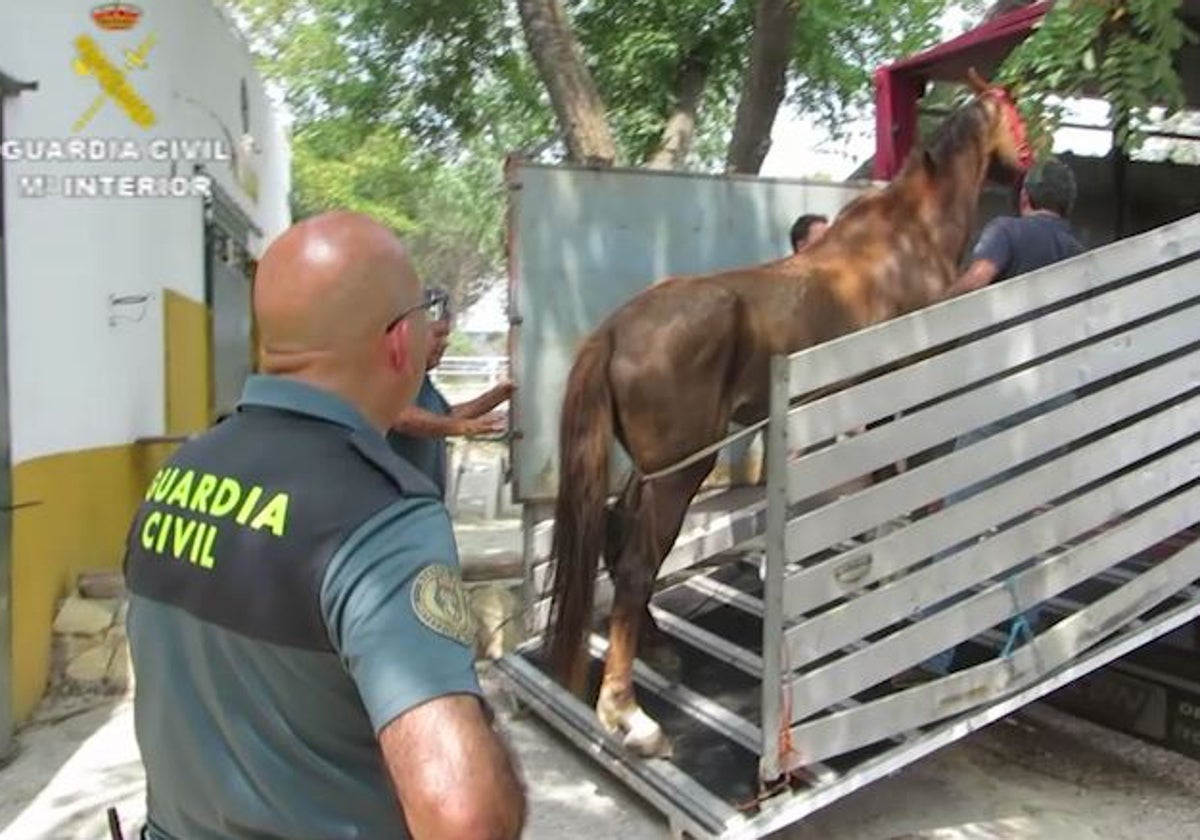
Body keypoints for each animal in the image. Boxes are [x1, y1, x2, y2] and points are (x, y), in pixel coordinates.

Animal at [549, 69, 1036, 758]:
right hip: (679, 473)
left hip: (650, 472)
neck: (905, 240)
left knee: (620, 545)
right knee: (639, 564)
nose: (1028, 160)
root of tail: (617, 328)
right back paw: (630, 716)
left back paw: (659, 653)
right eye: (1015, 113)